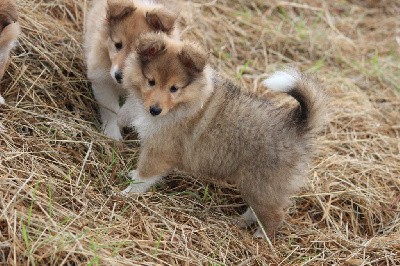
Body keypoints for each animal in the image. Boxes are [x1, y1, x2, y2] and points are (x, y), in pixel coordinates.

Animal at [84, 0, 178, 140]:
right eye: (118, 45)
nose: (119, 76)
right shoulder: (102, 80)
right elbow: (111, 109)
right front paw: (112, 133)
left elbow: (130, 107)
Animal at [117, 33, 326, 237]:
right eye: (151, 81)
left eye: (174, 88)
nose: (155, 110)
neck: (184, 104)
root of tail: (296, 126)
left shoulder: (159, 150)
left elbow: (144, 176)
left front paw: (127, 193)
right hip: (257, 187)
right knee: (258, 210)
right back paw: (241, 221)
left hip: (261, 185)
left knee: (274, 215)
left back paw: (261, 236)